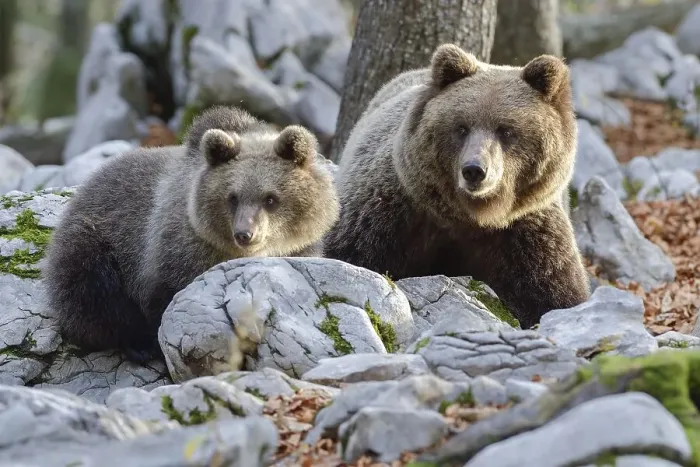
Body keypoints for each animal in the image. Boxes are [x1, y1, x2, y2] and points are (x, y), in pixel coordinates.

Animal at [43, 105, 340, 362]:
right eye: (232, 197)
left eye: (270, 198)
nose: (245, 234)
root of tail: (88, 183)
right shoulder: (173, 247)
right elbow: (161, 297)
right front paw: (154, 343)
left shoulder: (300, 247)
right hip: (96, 238)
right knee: (93, 287)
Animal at [324, 43, 590, 329]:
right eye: (461, 127)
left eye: (506, 130)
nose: (474, 170)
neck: (471, 216)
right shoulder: (391, 213)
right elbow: (354, 253)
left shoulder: (528, 236)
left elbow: (552, 295)